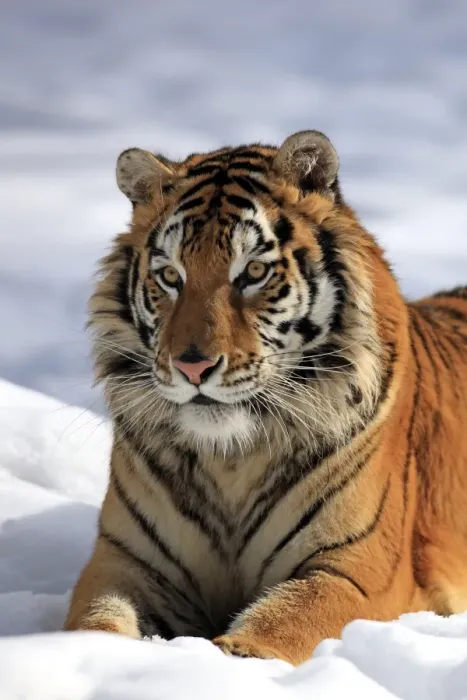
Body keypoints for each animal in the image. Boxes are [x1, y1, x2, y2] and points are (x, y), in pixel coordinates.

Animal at [65, 130, 467, 665]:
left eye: (253, 271)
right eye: (170, 276)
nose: (193, 367)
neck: (231, 461)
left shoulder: (356, 569)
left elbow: (285, 619)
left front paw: (231, 659)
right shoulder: (124, 562)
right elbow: (96, 621)